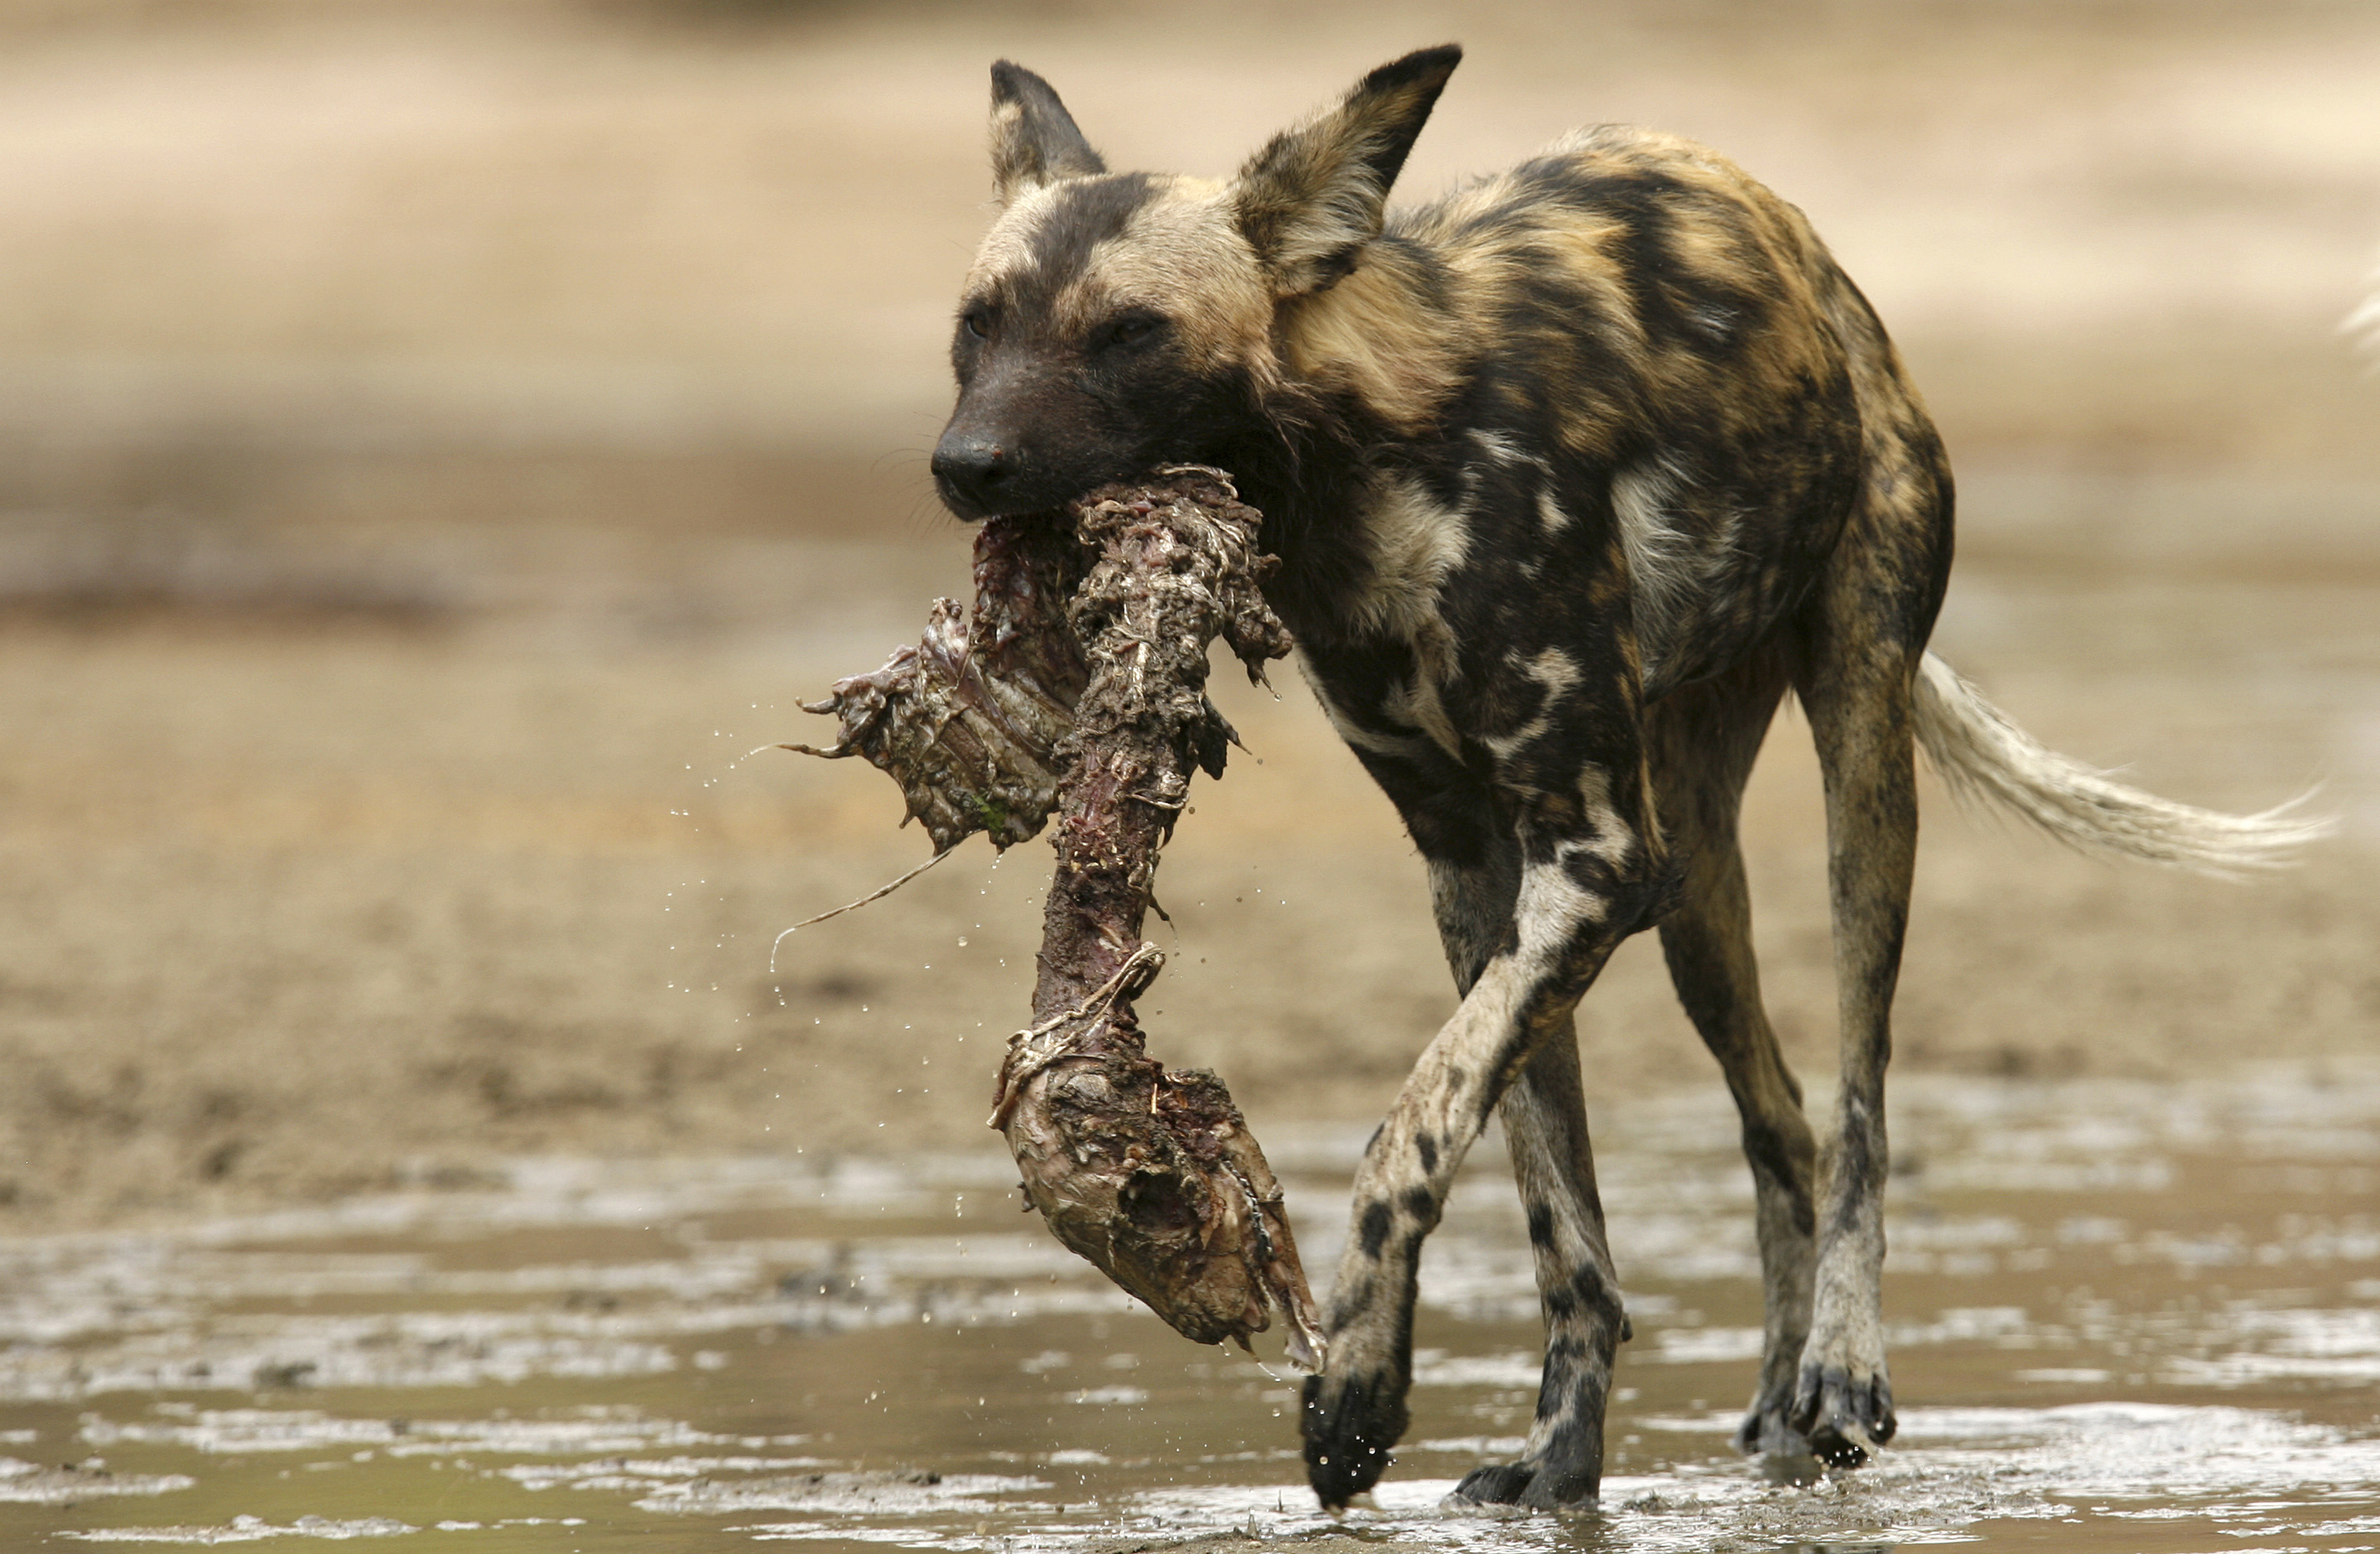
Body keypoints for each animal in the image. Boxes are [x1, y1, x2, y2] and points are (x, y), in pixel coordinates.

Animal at [923, 45, 2323, 1503]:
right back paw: (1776, 1410)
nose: (963, 467)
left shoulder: (1590, 859)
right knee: (1780, 1124)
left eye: (1127, 333)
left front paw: (1355, 1378)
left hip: (1856, 771)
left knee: (1860, 1108)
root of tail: (1822, 271)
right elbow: (1553, 1214)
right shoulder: (1487, 871)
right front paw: (1554, 1455)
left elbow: (1404, 1136)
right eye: (977, 326)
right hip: (1696, 884)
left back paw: (1840, 1373)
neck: (1365, 469)